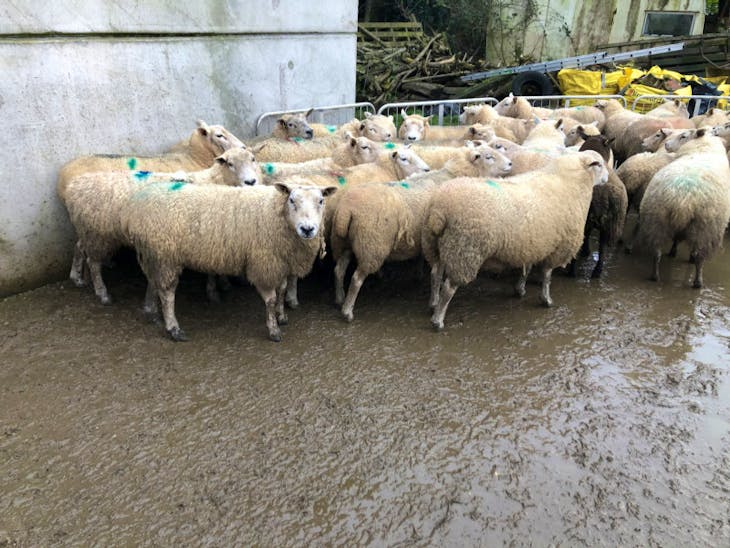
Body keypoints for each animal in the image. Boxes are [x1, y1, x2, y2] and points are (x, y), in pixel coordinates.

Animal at [62, 148, 262, 305]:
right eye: (230, 163)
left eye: (253, 159)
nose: (251, 182)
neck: (213, 181)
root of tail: (74, 185)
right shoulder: (205, 238)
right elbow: (211, 272)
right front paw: (214, 292)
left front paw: (223, 284)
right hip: (97, 234)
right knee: (94, 263)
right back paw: (102, 294)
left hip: (89, 230)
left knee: (79, 247)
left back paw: (76, 277)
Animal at [121, 182, 337, 341]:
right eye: (292, 200)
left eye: (321, 200)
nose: (307, 229)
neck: (276, 213)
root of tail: (134, 208)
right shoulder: (264, 263)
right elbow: (271, 299)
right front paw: (274, 329)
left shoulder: (281, 263)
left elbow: (282, 291)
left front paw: (282, 316)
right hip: (166, 255)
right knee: (167, 292)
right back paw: (173, 328)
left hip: (155, 253)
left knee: (153, 282)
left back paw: (151, 312)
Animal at [331, 143, 513, 321]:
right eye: (489, 156)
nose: (511, 163)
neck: (454, 175)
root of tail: (346, 210)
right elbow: (437, 273)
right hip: (370, 245)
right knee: (356, 279)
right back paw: (347, 311)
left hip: (344, 243)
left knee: (339, 270)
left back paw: (339, 298)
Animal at [422, 150, 608, 330]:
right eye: (599, 164)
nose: (607, 178)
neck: (570, 181)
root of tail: (440, 211)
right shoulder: (558, 246)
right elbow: (547, 275)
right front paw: (546, 299)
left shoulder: (534, 244)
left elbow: (527, 268)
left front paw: (520, 289)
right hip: (465, 250)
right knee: (448, 288)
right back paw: (437, 320)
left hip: (437, 246)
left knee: (435, 274)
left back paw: (433, 304)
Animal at [638, 129, 730, 287]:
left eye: (683, 136)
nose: (666, 144)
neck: (703, 148)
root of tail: (683, 197)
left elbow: (676, 239)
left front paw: (673, 252)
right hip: (705, 228)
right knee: (699, 257)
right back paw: (698, 282)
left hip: (657, 219)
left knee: (656, 252)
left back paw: (655, 276)